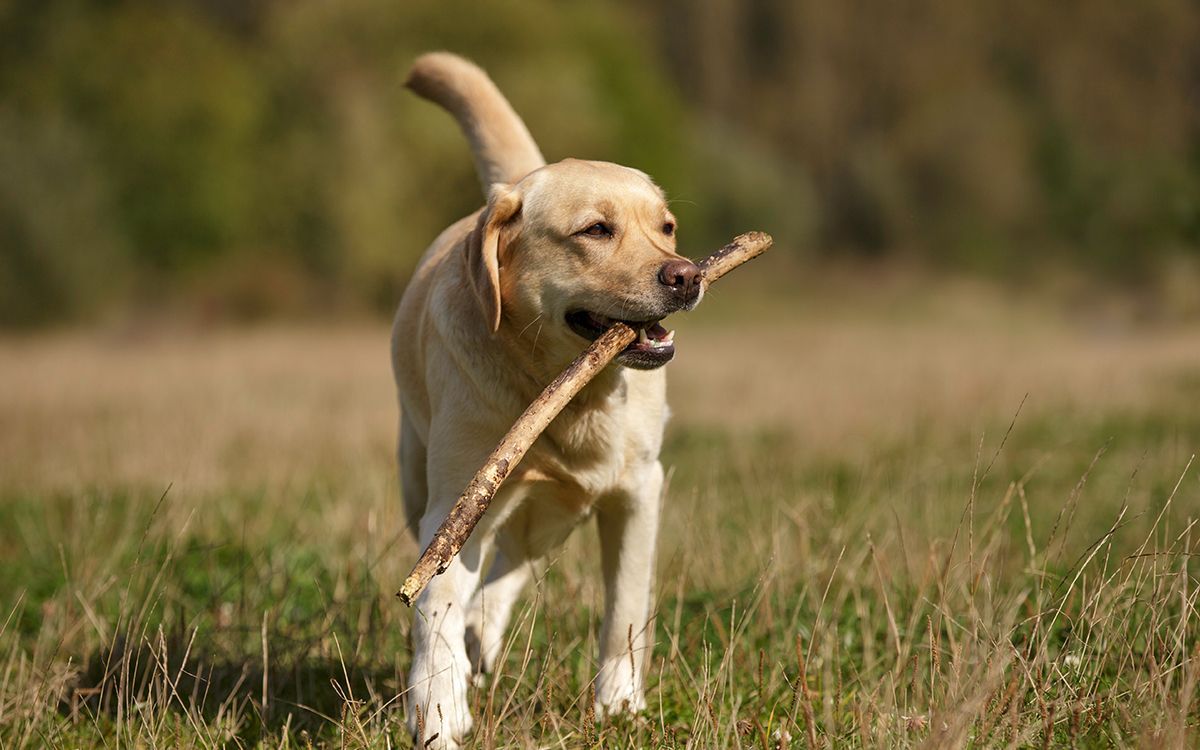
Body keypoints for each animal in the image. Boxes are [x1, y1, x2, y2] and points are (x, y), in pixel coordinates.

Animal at [388, 51, 700, 744]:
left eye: (665, 227)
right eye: (596, 230)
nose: (688, 275)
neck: (570, 394)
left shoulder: (639, 491)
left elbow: (625, 609)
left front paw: (618, 704)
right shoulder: (455, 504)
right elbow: (434, 605)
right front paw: (439, 711)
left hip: (556, 516)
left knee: (511, 567)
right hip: (422, 481)